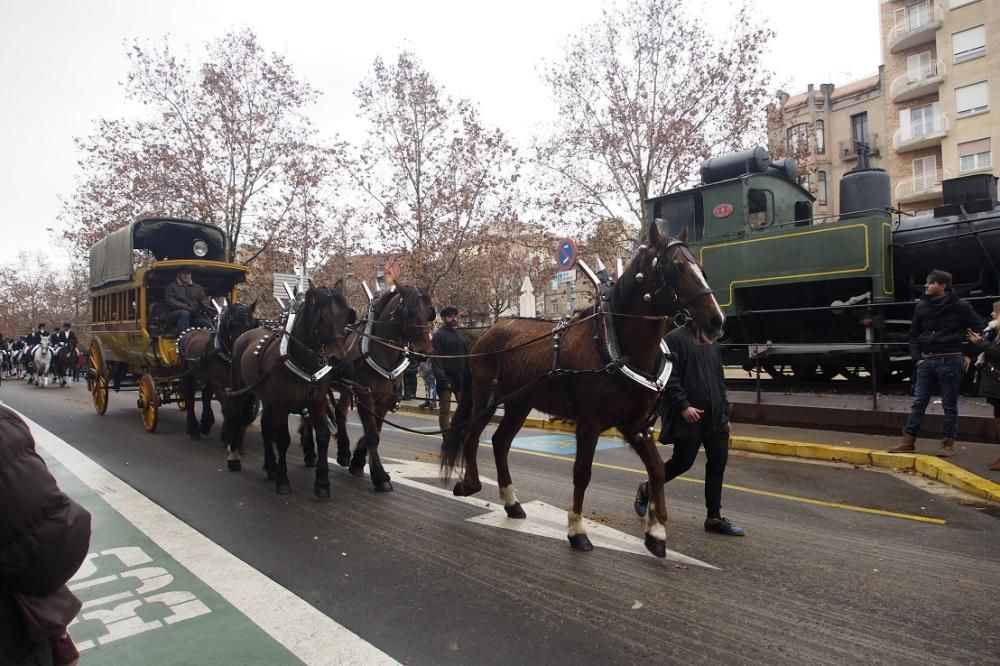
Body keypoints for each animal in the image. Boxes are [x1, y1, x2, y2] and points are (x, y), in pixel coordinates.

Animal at [179, 300, 260, 440]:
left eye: (251, 324)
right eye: (232, 323)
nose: (242, 345)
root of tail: (189, 332)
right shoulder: (220, 385)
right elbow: (227, 409)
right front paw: (227, 434)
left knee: (205, 396)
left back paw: (206, 423)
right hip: (188, 376)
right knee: (190, 400)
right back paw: (193, 429)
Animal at [226, 282, 356, 496]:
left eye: (346, 316)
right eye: (321, 317)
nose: (339, 359)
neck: (304, 363)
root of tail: (244, 336)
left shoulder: (317, 402)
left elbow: (322, 436)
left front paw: (322, 482)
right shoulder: (280, 404)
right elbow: (282, 439)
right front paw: (283, 480)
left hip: (266, 399)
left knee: (265, 427)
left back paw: (270, 466)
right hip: (241, 390)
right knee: (237, 417)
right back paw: (234, 458)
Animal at [326, 282, 436, 490]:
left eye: (429, 312)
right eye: (408, 312)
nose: (424, 352)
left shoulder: (384, 400)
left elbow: (375, 430)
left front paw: (358, 461)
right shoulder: (365, 396)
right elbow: (372, 434)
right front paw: (380, 476)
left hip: (345, 389)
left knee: (341, 414)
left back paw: (344, 452)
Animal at [442, 223, 724, 556]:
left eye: (702, 269)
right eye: (676, 267)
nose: (716, 320)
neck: (615, 344)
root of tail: (489, 332)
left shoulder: (636, 426)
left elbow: (656, 469)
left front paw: (656, 531)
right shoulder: (589, 423)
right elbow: (582, 472)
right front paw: (577, 530)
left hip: (519, 403)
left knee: (500, 442)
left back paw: (511, 502)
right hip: (487, 398)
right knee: (471, 436)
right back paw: (469, 484)